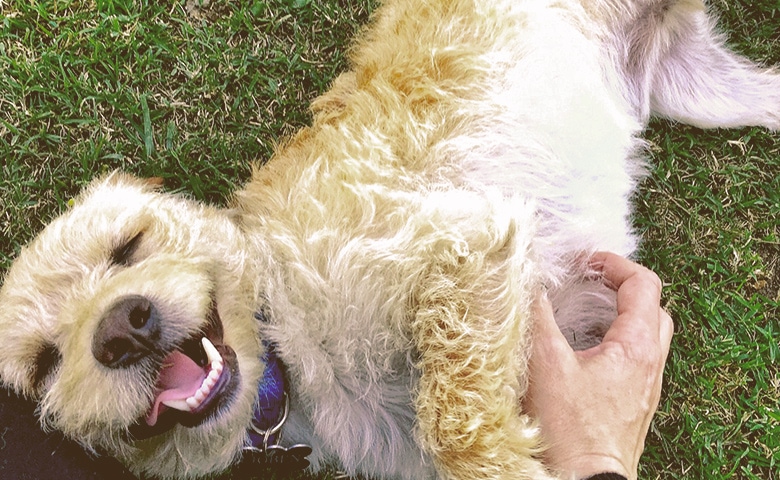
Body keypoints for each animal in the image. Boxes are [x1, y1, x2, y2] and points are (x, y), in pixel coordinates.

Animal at [1, 0, 780, 480]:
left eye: (130, 245)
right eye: (44, 363)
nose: (121, 330)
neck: (283, 347)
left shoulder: (461, 243)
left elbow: (455, 421)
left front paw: (507, 465)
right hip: (706, 86)